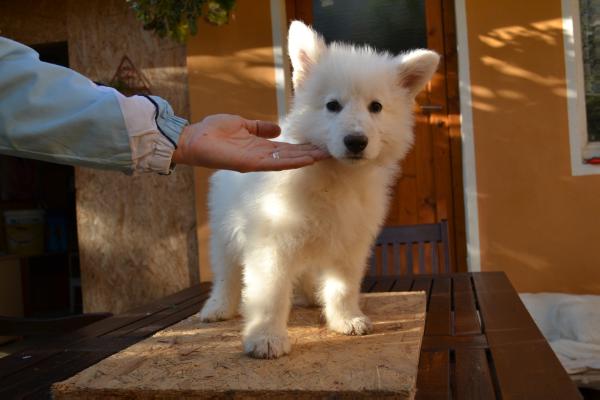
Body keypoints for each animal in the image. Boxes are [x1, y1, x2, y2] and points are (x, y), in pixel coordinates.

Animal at [199, 19, 438, 360]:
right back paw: (217, 307)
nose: (356, 141)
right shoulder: (271, 243)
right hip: (224, 233)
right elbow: (270, 295)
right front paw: (266, 337)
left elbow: (343, 287)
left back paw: (313, 296)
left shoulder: (351, 241)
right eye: (332, 106)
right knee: (226, 274)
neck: (336, 176)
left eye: (376, 107)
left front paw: (346, 319)